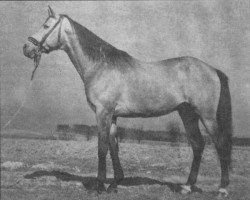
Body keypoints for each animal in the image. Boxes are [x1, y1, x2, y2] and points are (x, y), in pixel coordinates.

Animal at [23, 6, 232, 197]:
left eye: (46, 26)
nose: (27, 48)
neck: (100, 66)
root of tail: (213, 70)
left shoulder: (103, 113)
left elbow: (102, 148)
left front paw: (100, 186)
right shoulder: (113, 116)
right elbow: (114, 148)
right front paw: (115, 184)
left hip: (206, 116)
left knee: (220, 144)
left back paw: (222, 189)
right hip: (187, 114)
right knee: (198, 145)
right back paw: (186, 187)